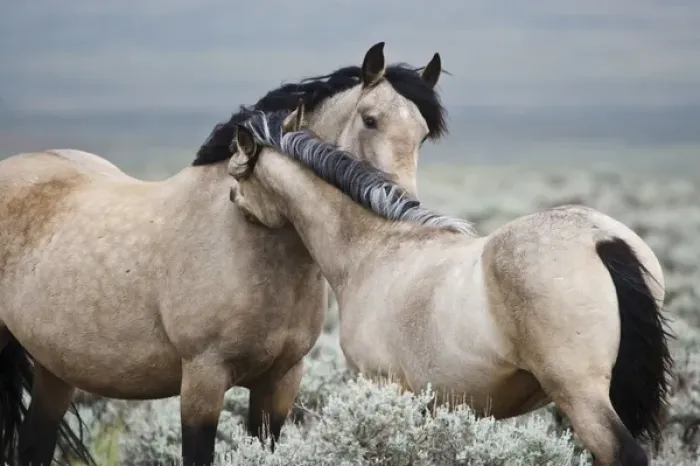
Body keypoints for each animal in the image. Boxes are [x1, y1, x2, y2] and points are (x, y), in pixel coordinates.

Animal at [0, 41, 447, 466]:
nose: (402, 205)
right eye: (370, 119)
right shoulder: (203, 379)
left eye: (423, 133)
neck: (249, 239)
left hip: (55, 368)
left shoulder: (281, 381)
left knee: (35, 443)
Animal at [226, 106, 675, 466]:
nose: (235, 207)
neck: (373, 249)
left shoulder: (385, 387)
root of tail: (602, 239)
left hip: (581, 394)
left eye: (236, 178)